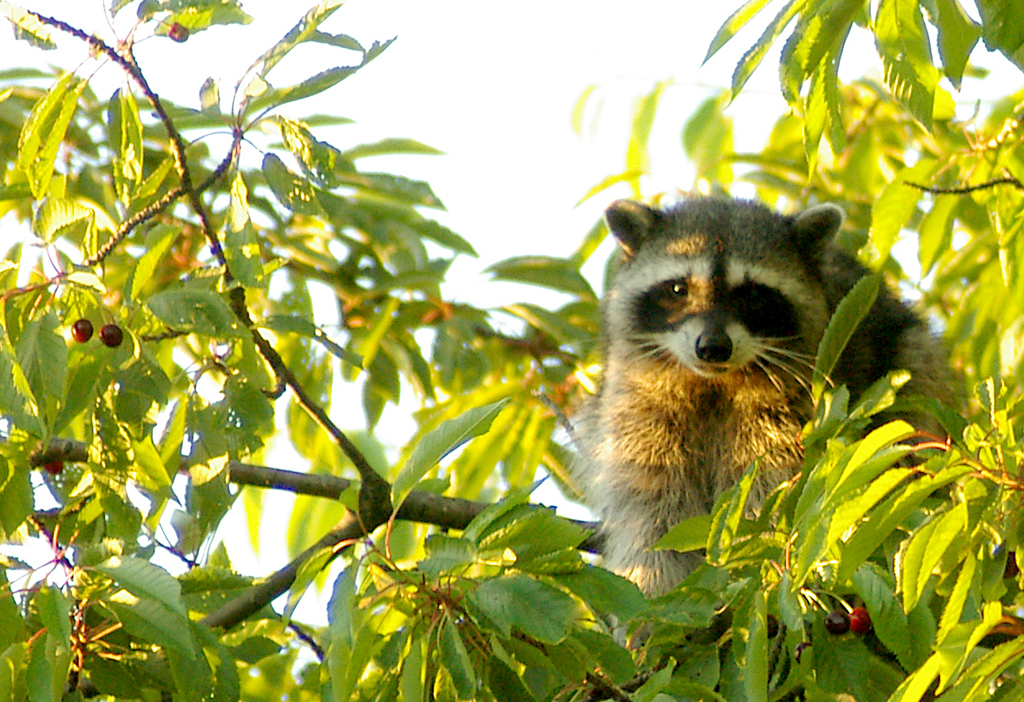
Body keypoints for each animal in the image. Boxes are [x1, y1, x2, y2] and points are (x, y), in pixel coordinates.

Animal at [573, 198, 946, 597]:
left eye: (752, 293)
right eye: (677, 289)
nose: (713, 347)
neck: (713, 383)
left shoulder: (796, 402)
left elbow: (768, 485)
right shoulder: (637, 400)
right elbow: (650, 501)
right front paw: (655, 584)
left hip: (912, 364)